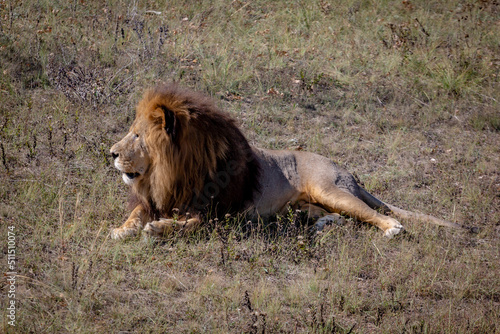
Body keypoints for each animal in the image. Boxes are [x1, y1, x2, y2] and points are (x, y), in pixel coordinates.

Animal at [109, 83, 460, 240]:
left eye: (137, 136)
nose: (111, 153)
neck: (167, 172)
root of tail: (346, 170)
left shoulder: (217, 213)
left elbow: (189, 224)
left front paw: (158, 228)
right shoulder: (155, 197)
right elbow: (136, 213)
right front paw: (120, 230)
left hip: (328, 189)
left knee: (370, 213)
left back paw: (392, 229)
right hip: (308, 202)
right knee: (341, 216)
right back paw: (318, 224)